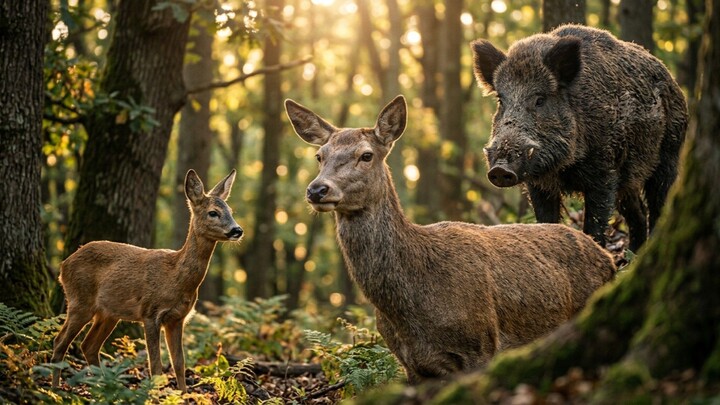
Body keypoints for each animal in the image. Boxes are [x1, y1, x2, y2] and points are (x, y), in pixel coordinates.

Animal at [51, 169, 243, 392]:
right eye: (213, 212)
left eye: (231, 210)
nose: (237, 230)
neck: (175, 276)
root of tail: (64, 265)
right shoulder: (150, 313)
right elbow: (156, 366)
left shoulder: (178, 318)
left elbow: (179, 363)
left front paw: (184, 394)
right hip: (79, 301)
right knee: (60, 341)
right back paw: (55, 389)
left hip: (108, 313)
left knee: (88, 345)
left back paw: (104, 387)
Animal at [285, 95, 617, 383]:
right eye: (320, 156)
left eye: (366, 155)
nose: (317, 189)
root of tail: (609, 258)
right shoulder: (411, 365)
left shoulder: (481, 345)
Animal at [471, 24, 687, 251]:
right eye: (500, 100)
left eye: (540, 100)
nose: (500, 169)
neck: (564, 168)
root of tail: (672, 80)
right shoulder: (538, 184)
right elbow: (546, 220)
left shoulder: (605, 172)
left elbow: (595, 224)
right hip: (628, 177)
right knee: (638, 213)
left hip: (670, 153)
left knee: (659, 205)